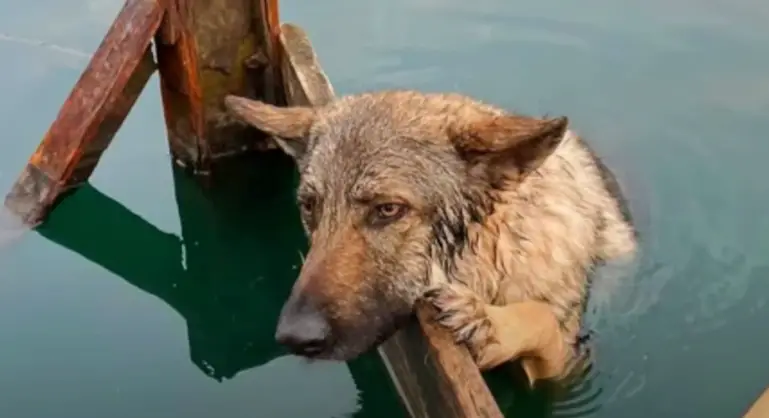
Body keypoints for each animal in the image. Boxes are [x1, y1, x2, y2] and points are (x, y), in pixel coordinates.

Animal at [222, 90, 636, 386]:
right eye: (310, 206)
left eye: (388, 210)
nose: (294, 338)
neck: (492, 256)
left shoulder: (569, 367)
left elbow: (542, 318)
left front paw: (488, 324)